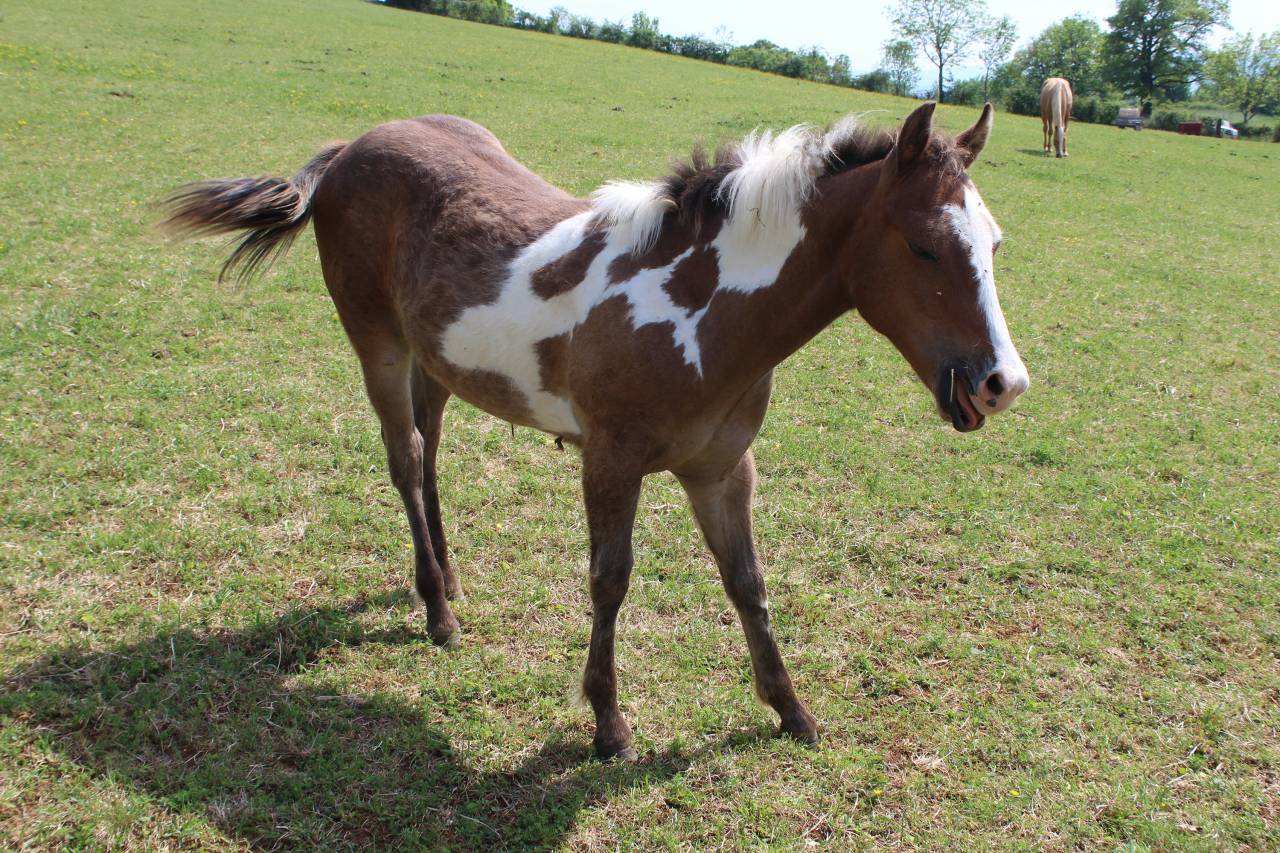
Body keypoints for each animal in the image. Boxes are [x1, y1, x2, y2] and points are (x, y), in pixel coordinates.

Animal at [162, 101, 1029, 761]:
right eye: (922, 245)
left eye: (994, 243)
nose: (1001, 383)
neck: (699, 309)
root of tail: (351, 147)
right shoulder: (610, 461)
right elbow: (610, 579)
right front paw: (609, 725)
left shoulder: (722, 470)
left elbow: (748, 581)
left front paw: (793, 711)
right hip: (375, 339)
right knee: (405, 459)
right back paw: (437, 611)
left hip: (433, 356)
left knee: (430, 449)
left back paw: (449, 579)